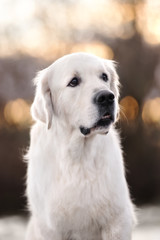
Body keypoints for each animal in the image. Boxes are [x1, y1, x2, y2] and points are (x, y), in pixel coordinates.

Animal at [25, 53, 136, 240]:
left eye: (104, 77)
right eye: (74, 81)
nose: (106, 97)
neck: (79, 156)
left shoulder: (117, 220)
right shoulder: (50, 227)